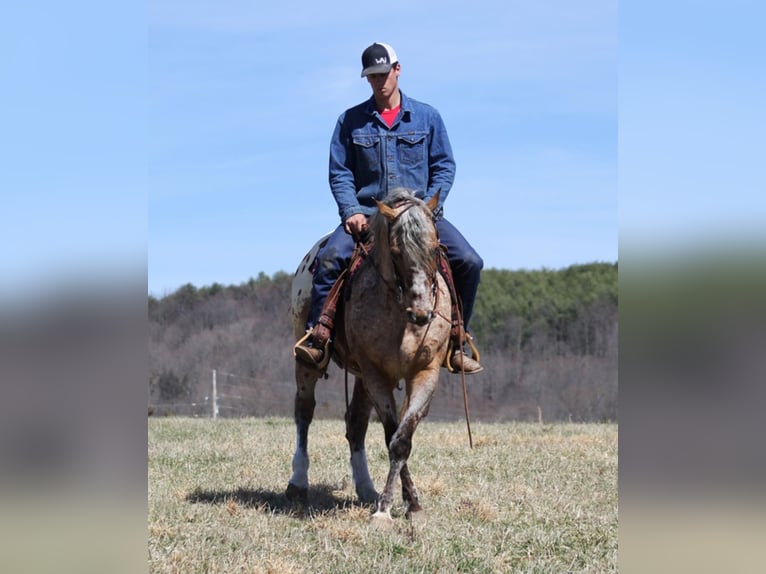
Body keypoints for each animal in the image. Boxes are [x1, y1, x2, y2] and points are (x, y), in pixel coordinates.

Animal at [288, 189, 456, 528]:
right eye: (395, 251)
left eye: (435, 248)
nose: (422, 314)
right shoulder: (377, 375)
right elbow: (393, 436)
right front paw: (385, 510)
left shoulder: (424, 373)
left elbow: (403, 437)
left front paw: (411, 505)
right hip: (309, 364)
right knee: (304, 412)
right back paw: (298, 482)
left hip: (361, 376)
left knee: (356, 423)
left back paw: (365, 487)